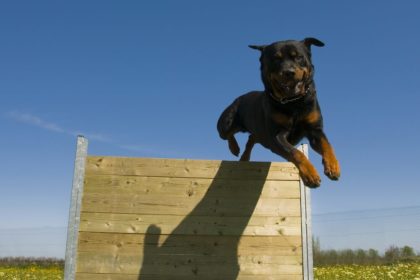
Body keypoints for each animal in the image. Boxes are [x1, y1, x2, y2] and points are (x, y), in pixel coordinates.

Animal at [218, 36, 340, 187]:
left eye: (298, 57)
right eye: (276, 59)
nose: (289, 72)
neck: (293, 102)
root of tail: (238, 98)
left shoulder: (314, 129)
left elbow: (327, 145)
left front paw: (333, 166)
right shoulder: (276, 135)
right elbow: (295, 152)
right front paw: (310, 174)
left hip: (259, 133)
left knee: (252, 138)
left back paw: (244, 157)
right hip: (227, 122)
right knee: (227, 134)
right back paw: (234, 148)